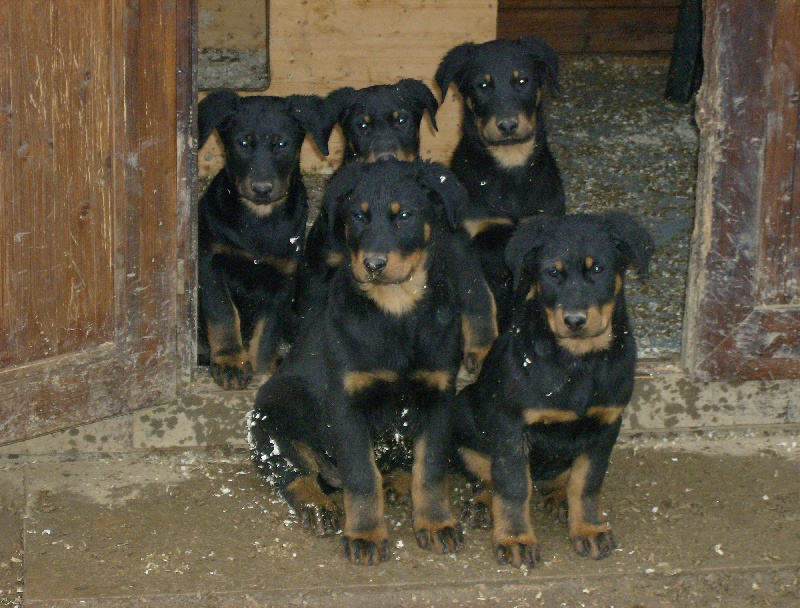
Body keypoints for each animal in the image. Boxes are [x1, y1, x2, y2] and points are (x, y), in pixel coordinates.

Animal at [198, 89, 332, 390]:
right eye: (243, 143)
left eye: (281, 143)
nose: (261, 189)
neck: (258, 220)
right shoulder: (210, 264)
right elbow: (224, 314)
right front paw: (231, 362)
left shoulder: (283, 277)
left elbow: (268, 329)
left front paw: (261, 366)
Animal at [250, 159, 496, 564]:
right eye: (358, 216)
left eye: (405, 216)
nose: (374, 264)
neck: (395, 309)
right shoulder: (347, 405)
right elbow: (363, 475)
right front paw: (365, 535)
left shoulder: (439, 397)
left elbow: (430, 469)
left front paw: (435, 523)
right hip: (270, 409)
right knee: (296, 471)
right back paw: (318, 505)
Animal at [434, 35, 564, 330]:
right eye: (483, 85)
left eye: (522, 81)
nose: (507, 125)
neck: (510, 166)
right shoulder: (467, 242)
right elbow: (480, 300)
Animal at [454, 211, 652, 568]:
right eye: (552, 273)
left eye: (598, 270)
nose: (574, 321)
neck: (578, 360)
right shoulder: (511, 425)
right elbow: (513, 486)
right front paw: (516, 539)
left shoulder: (606, 424)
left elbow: (587, 483)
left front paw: (588, 529)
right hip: (464, 414)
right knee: (490, 474)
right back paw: (483, 502)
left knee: (564, 476)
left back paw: (559, 496)